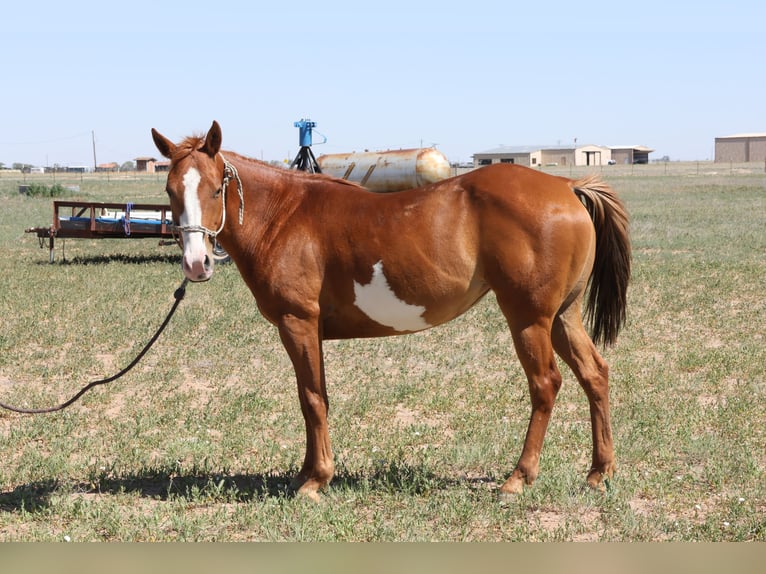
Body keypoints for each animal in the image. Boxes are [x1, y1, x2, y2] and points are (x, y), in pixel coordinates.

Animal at [150, 120, 632, 500]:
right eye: (171, 190)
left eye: (216, 189)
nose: (196, 264)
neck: (285, 217)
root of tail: (567, 187)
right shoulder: (310, 330)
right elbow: (315, 396)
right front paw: (306, 473)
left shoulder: (297, 323)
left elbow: (312, 399)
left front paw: (315, 480)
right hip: (563, 317)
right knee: (594, 375)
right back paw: (599, 471)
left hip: (529, 319)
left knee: (545, 385)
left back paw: (519, 477)